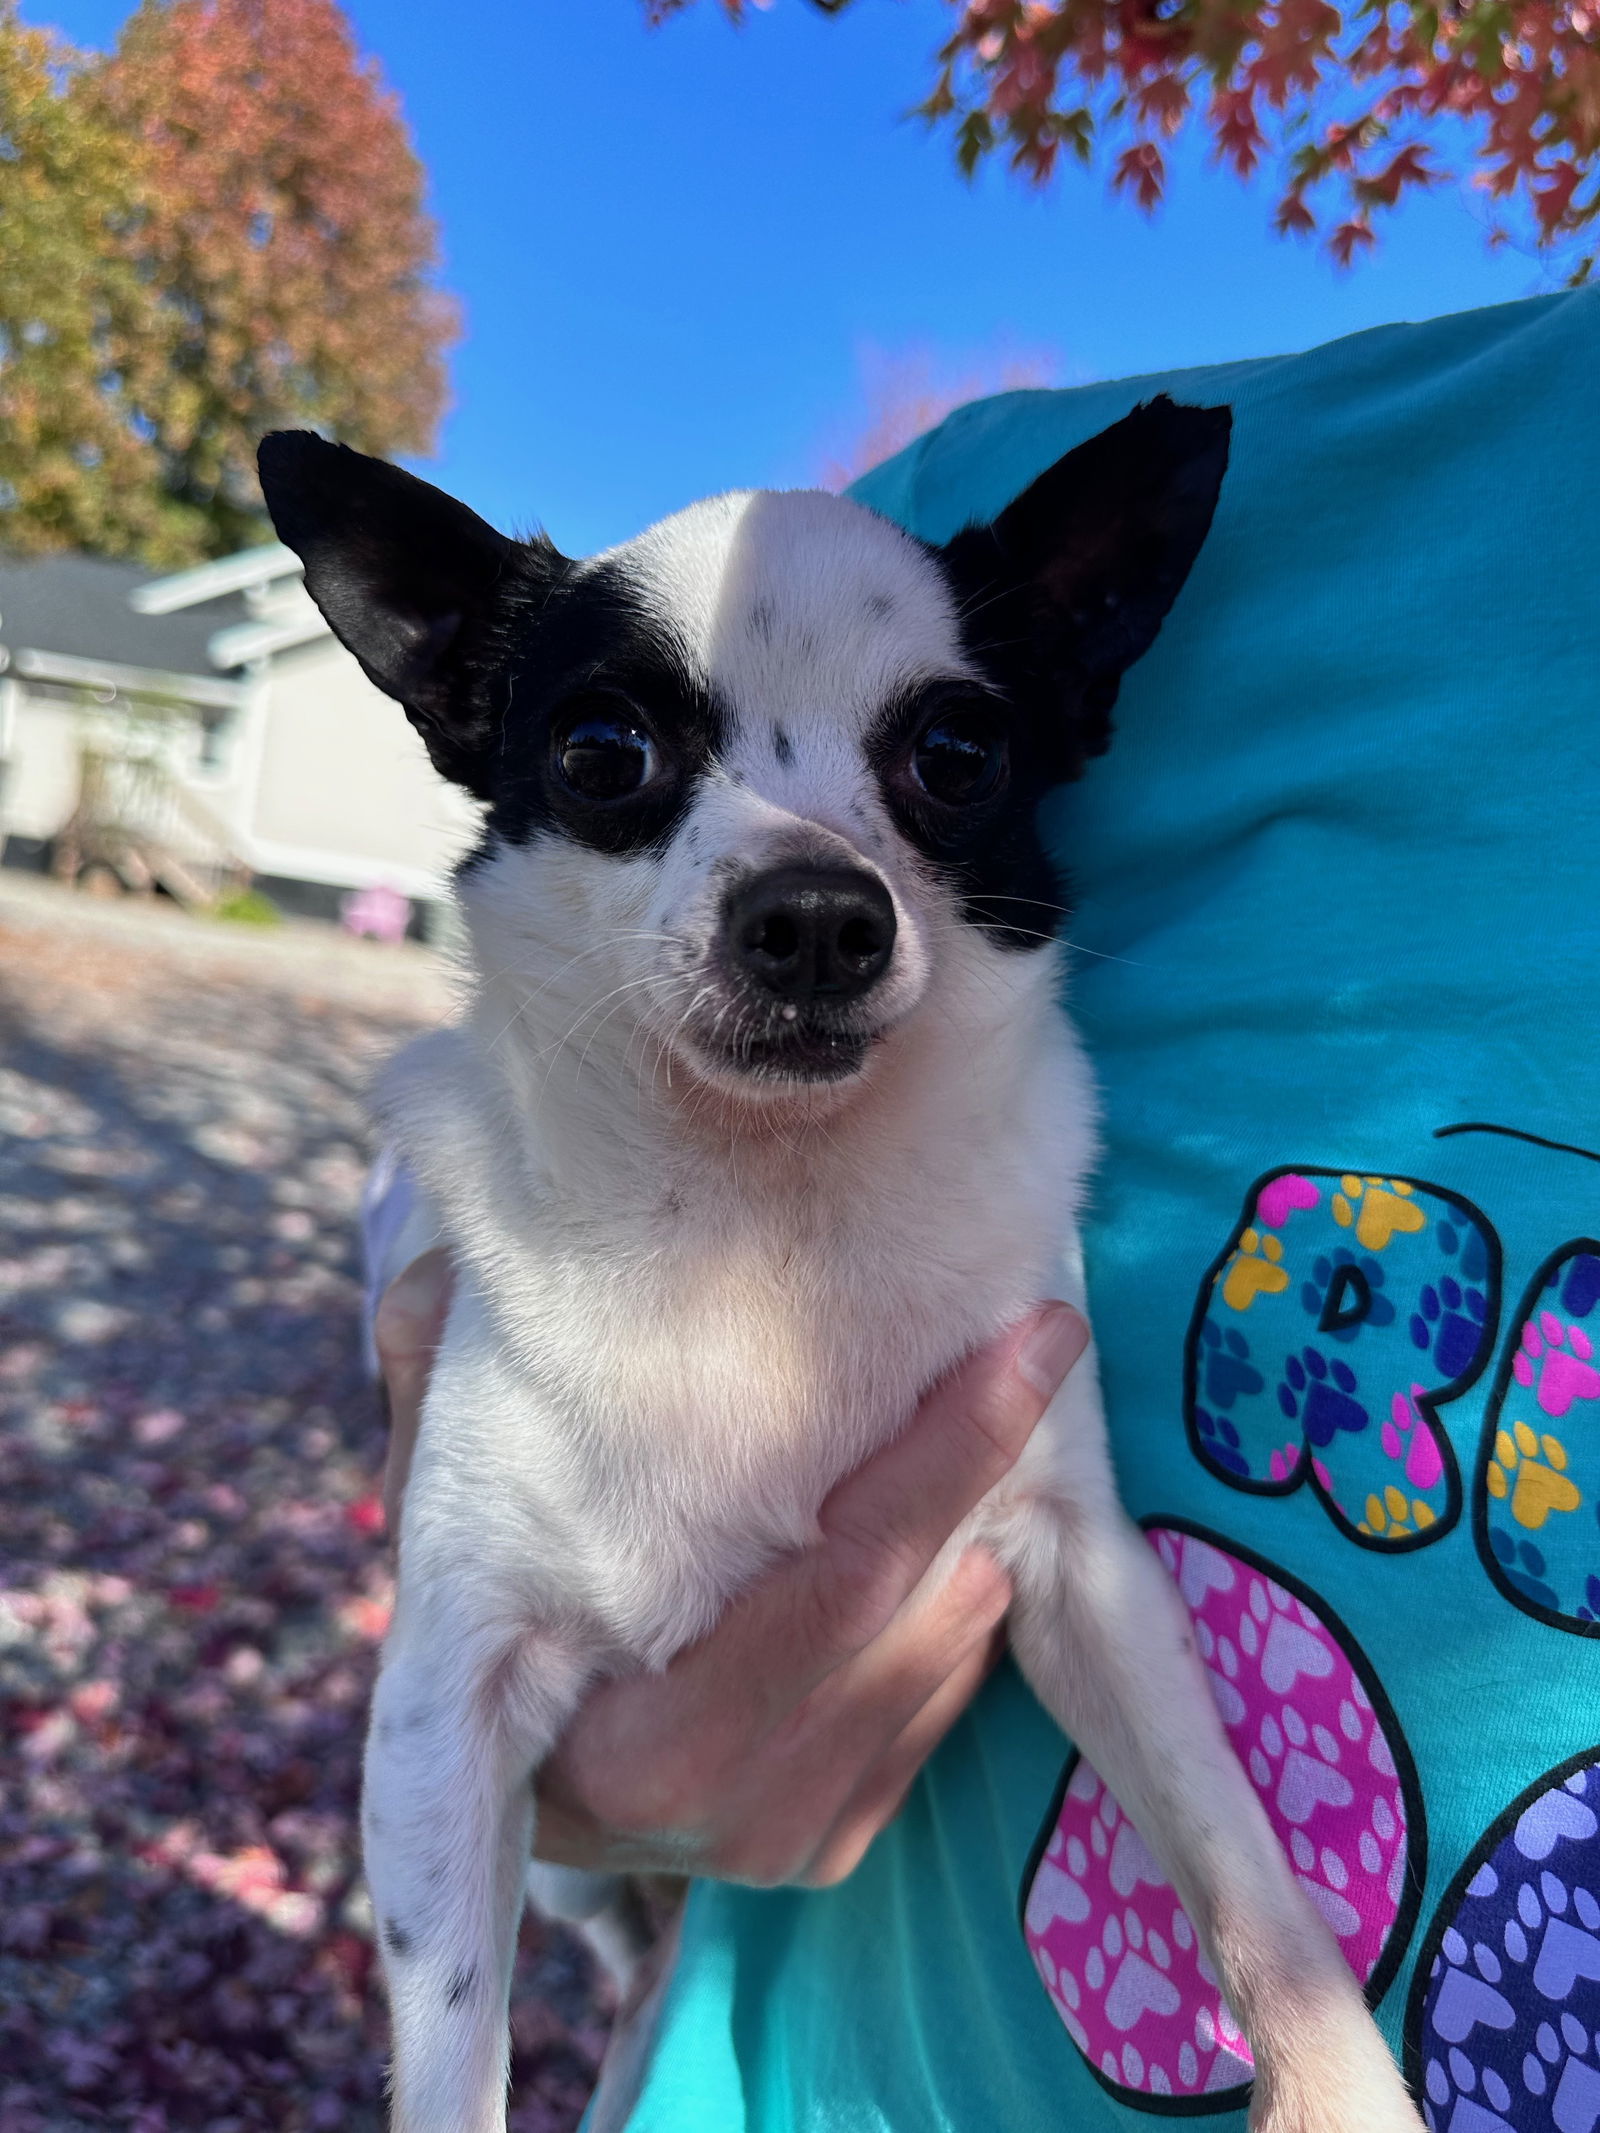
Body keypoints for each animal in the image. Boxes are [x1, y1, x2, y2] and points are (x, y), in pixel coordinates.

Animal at [263, 403, 1425, 2133]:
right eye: (601, 753)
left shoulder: (1093, 1584)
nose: (814, 912)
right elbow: (453, 2043)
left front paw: (1341, 2089)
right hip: (552, 1864)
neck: (769, 1220)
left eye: (958, 754)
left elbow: (1241, 1868)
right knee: (624, 1948)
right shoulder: (444, 1704)